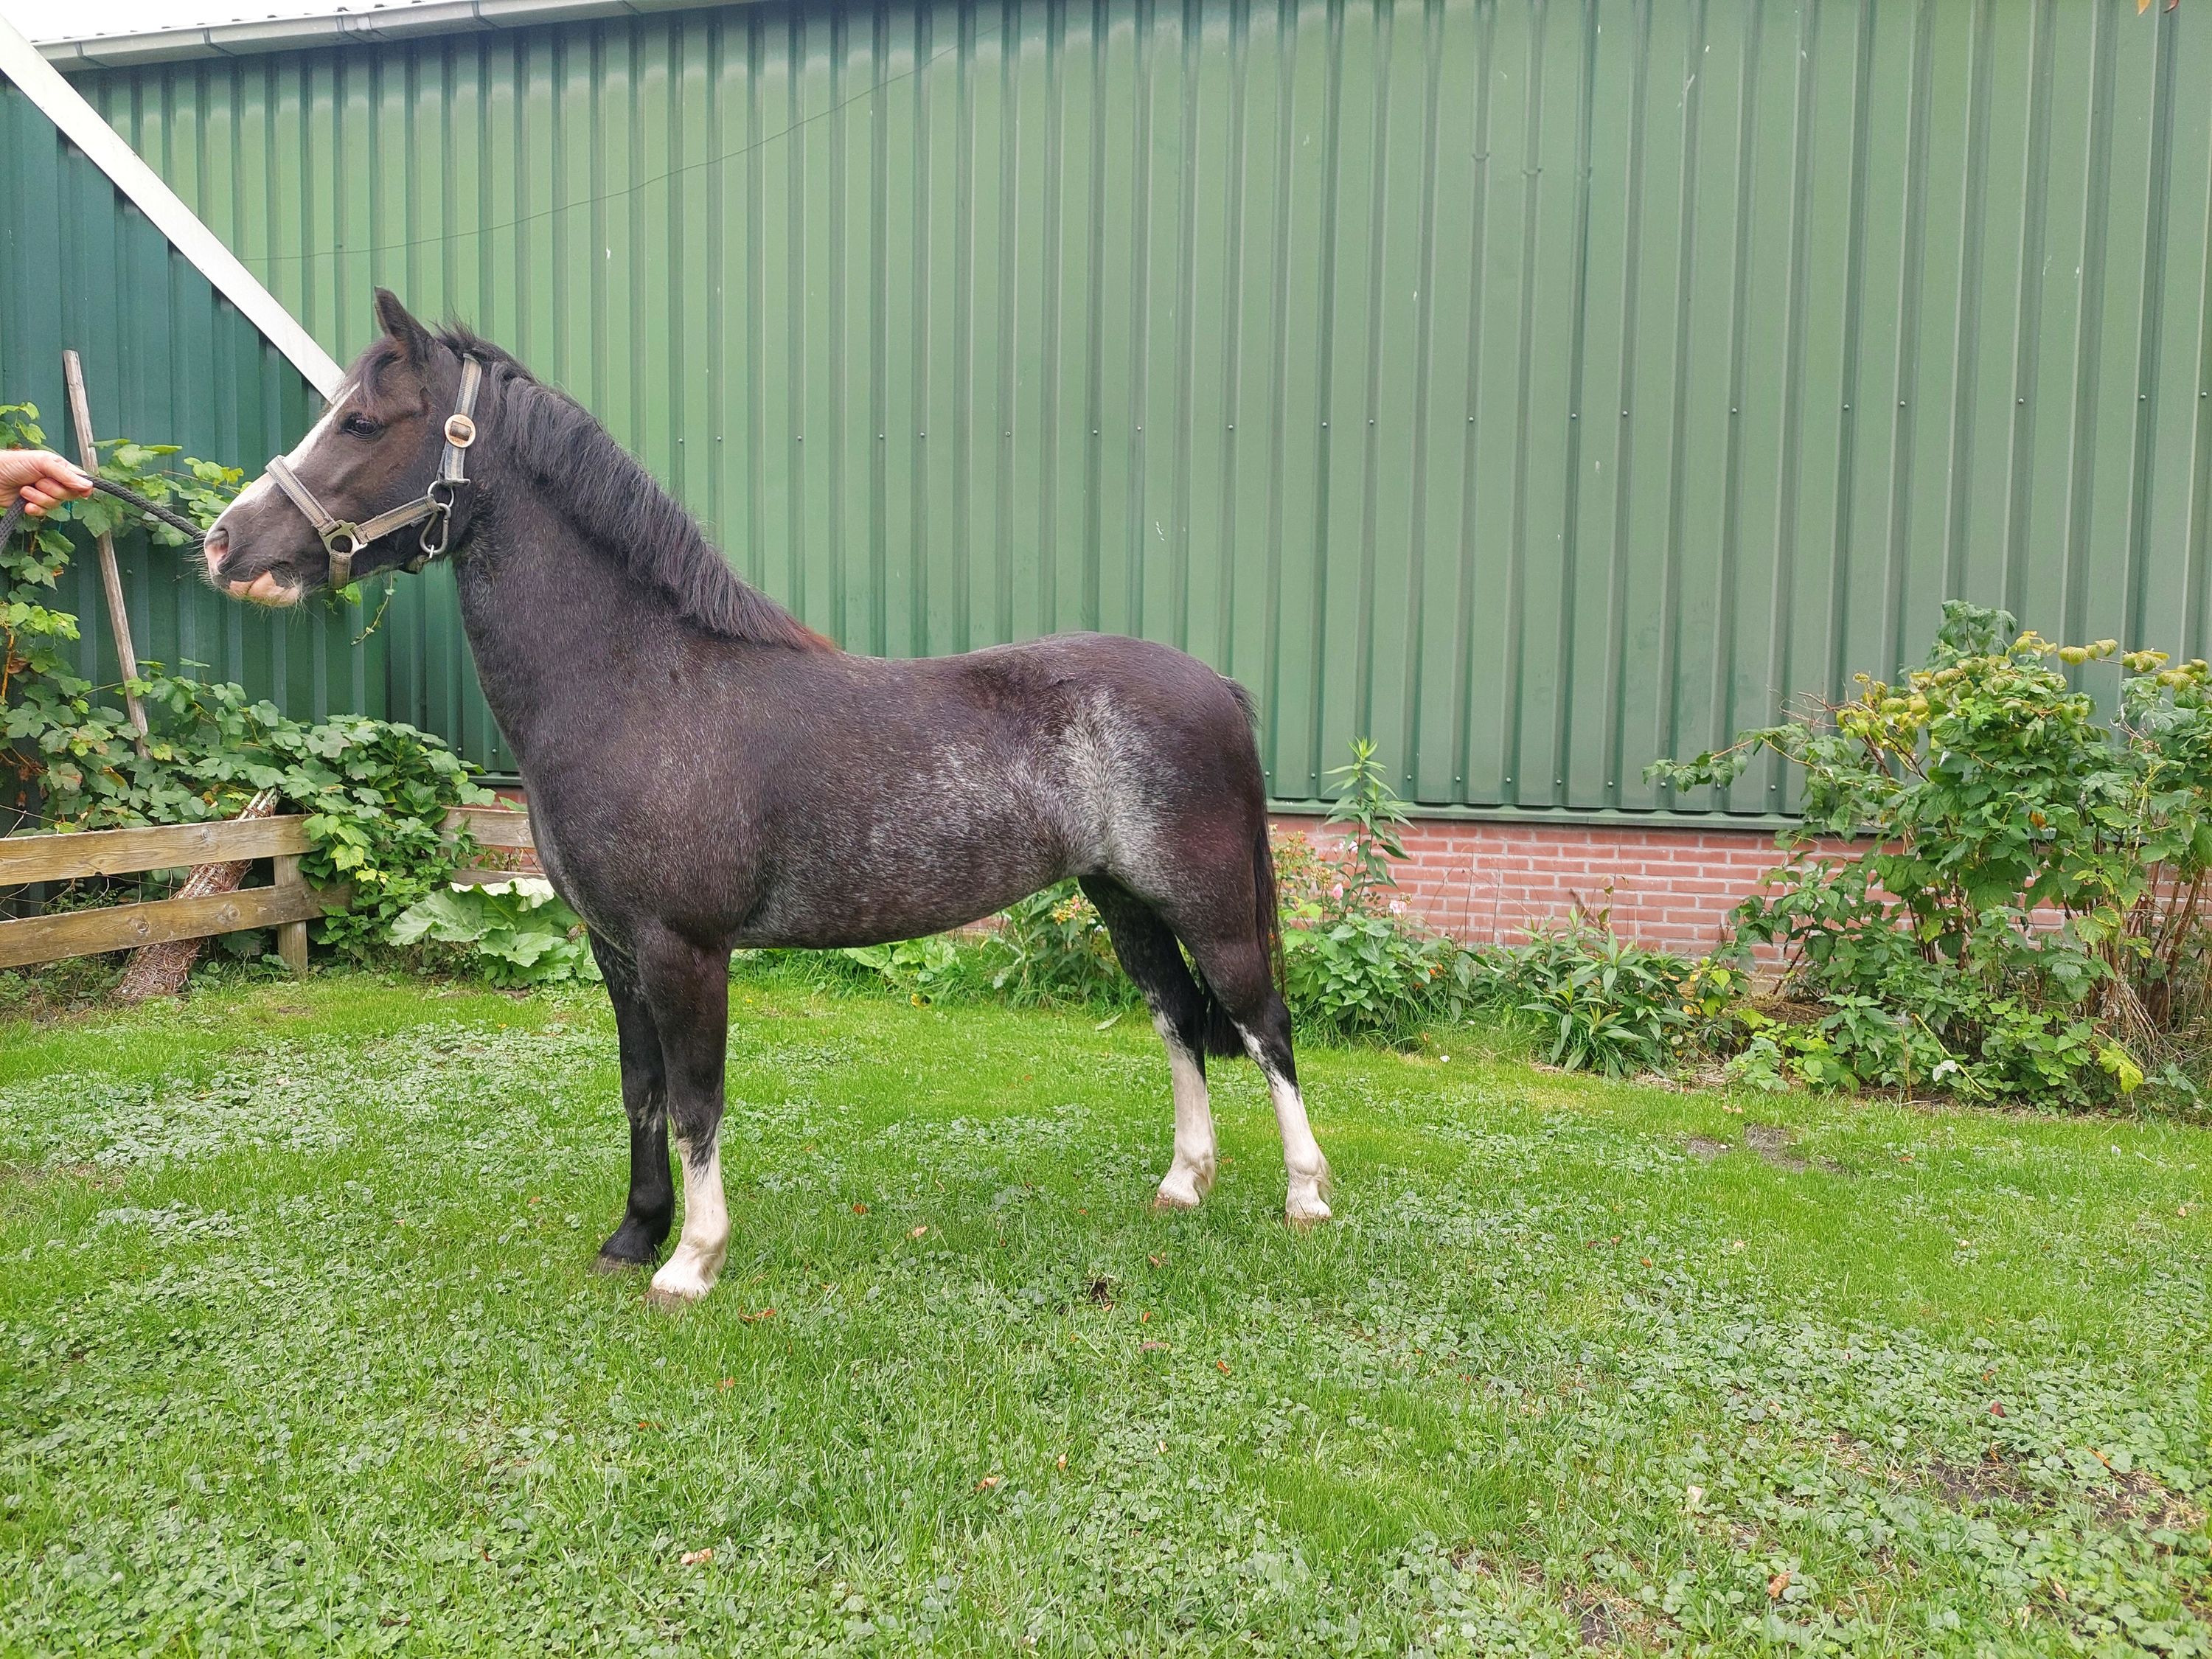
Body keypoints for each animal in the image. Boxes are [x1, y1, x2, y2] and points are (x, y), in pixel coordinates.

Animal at [203, 290, 1331, 1305]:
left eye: (361, 420)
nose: (223, 543)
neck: (639, 684)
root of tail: (1217, 685)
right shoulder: (616, 948)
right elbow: (643, 1089)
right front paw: (633, 1235)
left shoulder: (685, 949)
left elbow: (699, 1100)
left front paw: (692, 1262)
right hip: (1123, 900)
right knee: (1178, 1018)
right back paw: (1183, 1185)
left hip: (1209, 903)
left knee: (1261, 1024)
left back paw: (1306, 1198)